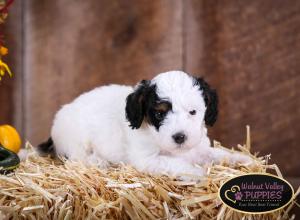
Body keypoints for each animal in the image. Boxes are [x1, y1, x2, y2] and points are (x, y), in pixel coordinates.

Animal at [38, 70, 253, 177]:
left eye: (193, 112)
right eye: (159, 114)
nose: (180, 137)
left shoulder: (199, 148)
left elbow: (218, 154)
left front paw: (242, 159)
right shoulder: (148, 159)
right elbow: (175, 163)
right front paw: (197, 173)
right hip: (76, 139)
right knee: (77, 158)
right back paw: (98, 161)